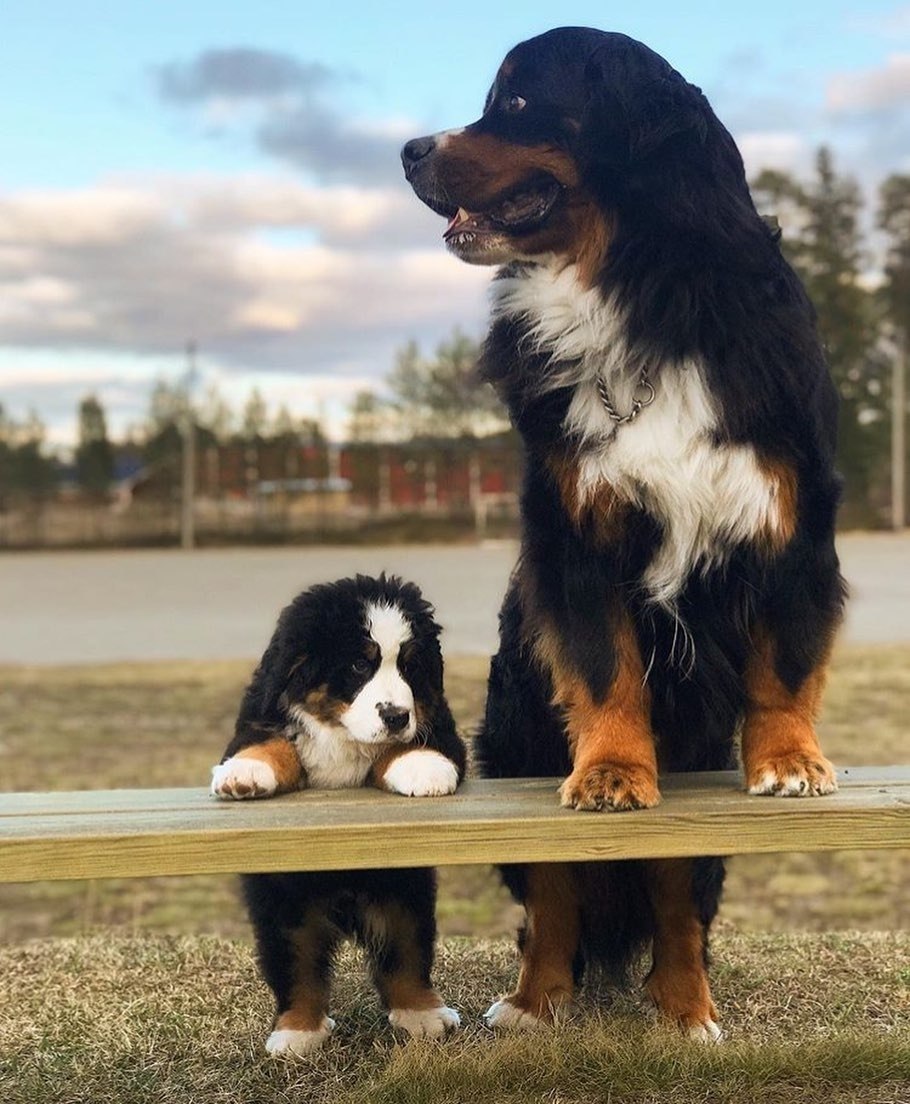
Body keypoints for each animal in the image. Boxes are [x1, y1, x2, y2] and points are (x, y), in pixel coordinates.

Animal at [212, 574, 466, 1055]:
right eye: (358, 666)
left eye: (410, 667)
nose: (396, 715)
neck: (341, 731)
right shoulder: (264, 718)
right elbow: (269, 743)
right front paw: (244, 772)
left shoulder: (437, 727)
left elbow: (407, 745)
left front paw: (424, 767)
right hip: (287, 914)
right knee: (299, 970)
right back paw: (297, 1032)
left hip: (402, 898)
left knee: (405, 956)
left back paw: (422, 1014)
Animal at [404, 28, 848, 1042]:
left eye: (517, 102)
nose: (408, 150)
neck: (642, 294)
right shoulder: (575, 539)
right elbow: (608, 671)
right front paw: (611, 769)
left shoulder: (795, 524)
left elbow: (783, 666)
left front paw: (789, 762)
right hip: (518, 737)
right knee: (556, 900)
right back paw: (534, 1002)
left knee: (676, 896)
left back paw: (686, 1009)